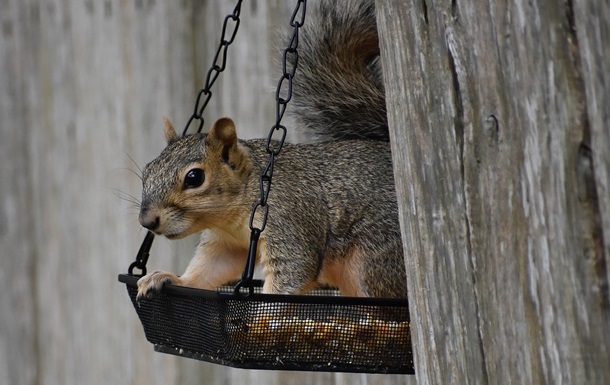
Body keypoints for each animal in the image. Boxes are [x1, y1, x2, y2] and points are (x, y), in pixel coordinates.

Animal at [135, 0, 406, 300]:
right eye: (147, 171)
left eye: (194, 178)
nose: (147, 221)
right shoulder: (227, 244)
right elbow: (209, 270)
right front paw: (169, 278)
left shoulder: (287, 218)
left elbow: (294, 268)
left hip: (376, 259)